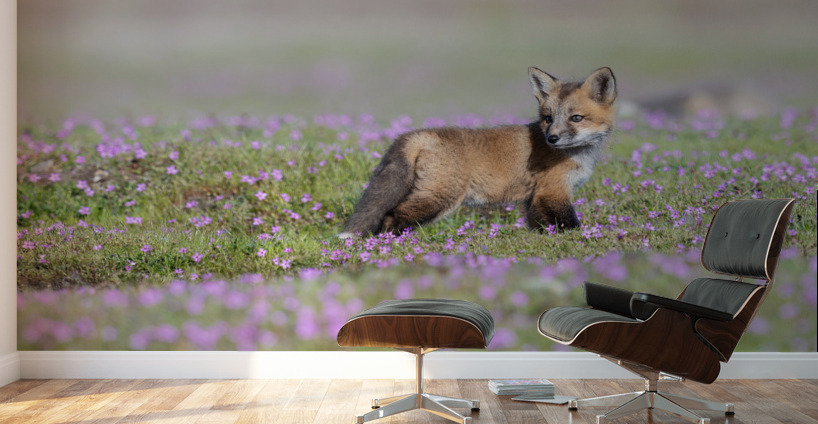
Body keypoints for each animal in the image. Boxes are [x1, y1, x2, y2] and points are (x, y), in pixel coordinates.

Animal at [338, 67, 617, 238]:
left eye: (576, 118)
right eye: (548, 118)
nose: (552, 138)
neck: (577, 155)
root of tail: (417, 134)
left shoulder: (535, 197)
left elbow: (538, 225)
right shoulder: (554, 191)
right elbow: (571, 224)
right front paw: (582, 238)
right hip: (439, 197)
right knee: (391, 216)